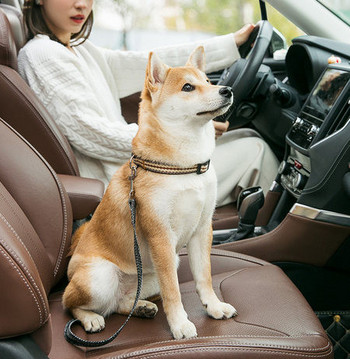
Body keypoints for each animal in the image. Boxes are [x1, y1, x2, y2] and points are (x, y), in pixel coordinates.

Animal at [63, 45, 238, 340]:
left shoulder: (203, 229)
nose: (227, 90)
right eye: (188, 87)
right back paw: (90, 319)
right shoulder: (160, 236)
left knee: (120, 303)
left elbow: (204, 277)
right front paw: (180, 324)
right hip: (100, 277)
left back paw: (141, 307)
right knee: (70, 304)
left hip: (154, 272)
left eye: (208, 81)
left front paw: (214, 306)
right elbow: (173, 290)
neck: (185, 167)